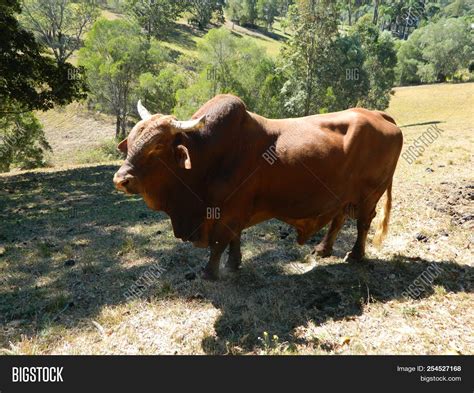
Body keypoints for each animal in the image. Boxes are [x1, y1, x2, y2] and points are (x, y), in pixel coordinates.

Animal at [113, 94, 402, 278]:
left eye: (157, 147)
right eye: (133, 140)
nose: (120, 180)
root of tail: (378, 115)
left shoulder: (229, 212)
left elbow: (220, 242)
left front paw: (210, 272)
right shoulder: (232, 211)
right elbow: (234, 239)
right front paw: (233, 264)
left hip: (370, 194)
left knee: (363, 224)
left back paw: (355, 254)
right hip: (342, 196)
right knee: (339, 218)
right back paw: (323, 249)